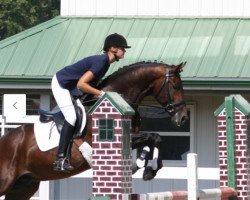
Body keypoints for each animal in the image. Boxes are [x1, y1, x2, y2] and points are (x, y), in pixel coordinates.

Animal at [0, 61, 188, 200]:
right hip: (6, 182)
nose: (183, 117)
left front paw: (147, 168)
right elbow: (153, 137)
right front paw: (146, 167)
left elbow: (155, 138)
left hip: (24, 187)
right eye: (175, 86)